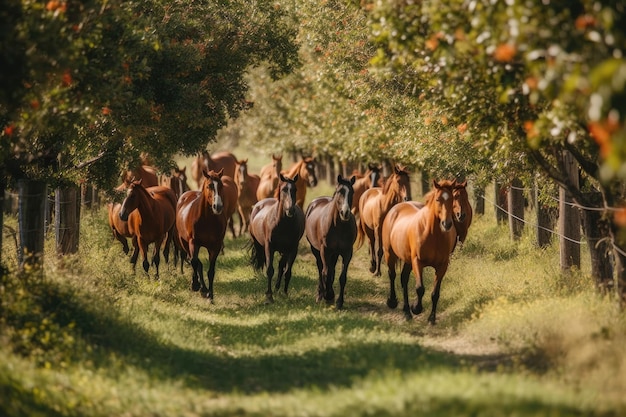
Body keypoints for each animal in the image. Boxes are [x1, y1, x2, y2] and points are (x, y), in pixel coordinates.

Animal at [176, 167, 229, 300]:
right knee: (193, 260)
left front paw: (211, 295)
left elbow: (211, 271)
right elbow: (195, 262)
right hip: (184, 242)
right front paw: (195, 285)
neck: (207, 220)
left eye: (221, 185)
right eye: (209, 186)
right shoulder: (193, 242)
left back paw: (204, 289)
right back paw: (200, 286)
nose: (217, 206)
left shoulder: (215, 246)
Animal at [250, 172, 306, 302]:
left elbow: (287, 271)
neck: (282, 224)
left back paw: (277, 288)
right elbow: (270, 270)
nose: (290, 210)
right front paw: (269, 296)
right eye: (284, 189)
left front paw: (285, 293)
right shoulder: (269, 247)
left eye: (295, 189)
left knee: (282, 266)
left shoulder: (292, 250)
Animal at [304, 174, 354, 308]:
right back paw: (320, 294)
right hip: (316, 250)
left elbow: (342, 277)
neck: (338, 226)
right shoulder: (325, 250)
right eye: (339, 191)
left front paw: (339, 301)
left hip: (334, 254)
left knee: (331, 269)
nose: (345, 212)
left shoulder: (347, 252)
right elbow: (325, 273)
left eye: (352, 192)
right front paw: (327, 295)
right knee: (321, 268)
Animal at [378, 177, 456, 324]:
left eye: (452, 199)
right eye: (438, 199)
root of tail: (395, 209)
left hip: (407, 260)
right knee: (392, 275)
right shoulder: (417, 262)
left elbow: (435, 293)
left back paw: (406, 311)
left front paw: (431, 319)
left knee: (404, 279)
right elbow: (420, 288)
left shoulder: (442, 266)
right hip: (390, 254)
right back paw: (393, 302)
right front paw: (416, 308)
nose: (447, 224)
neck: (432, 234)